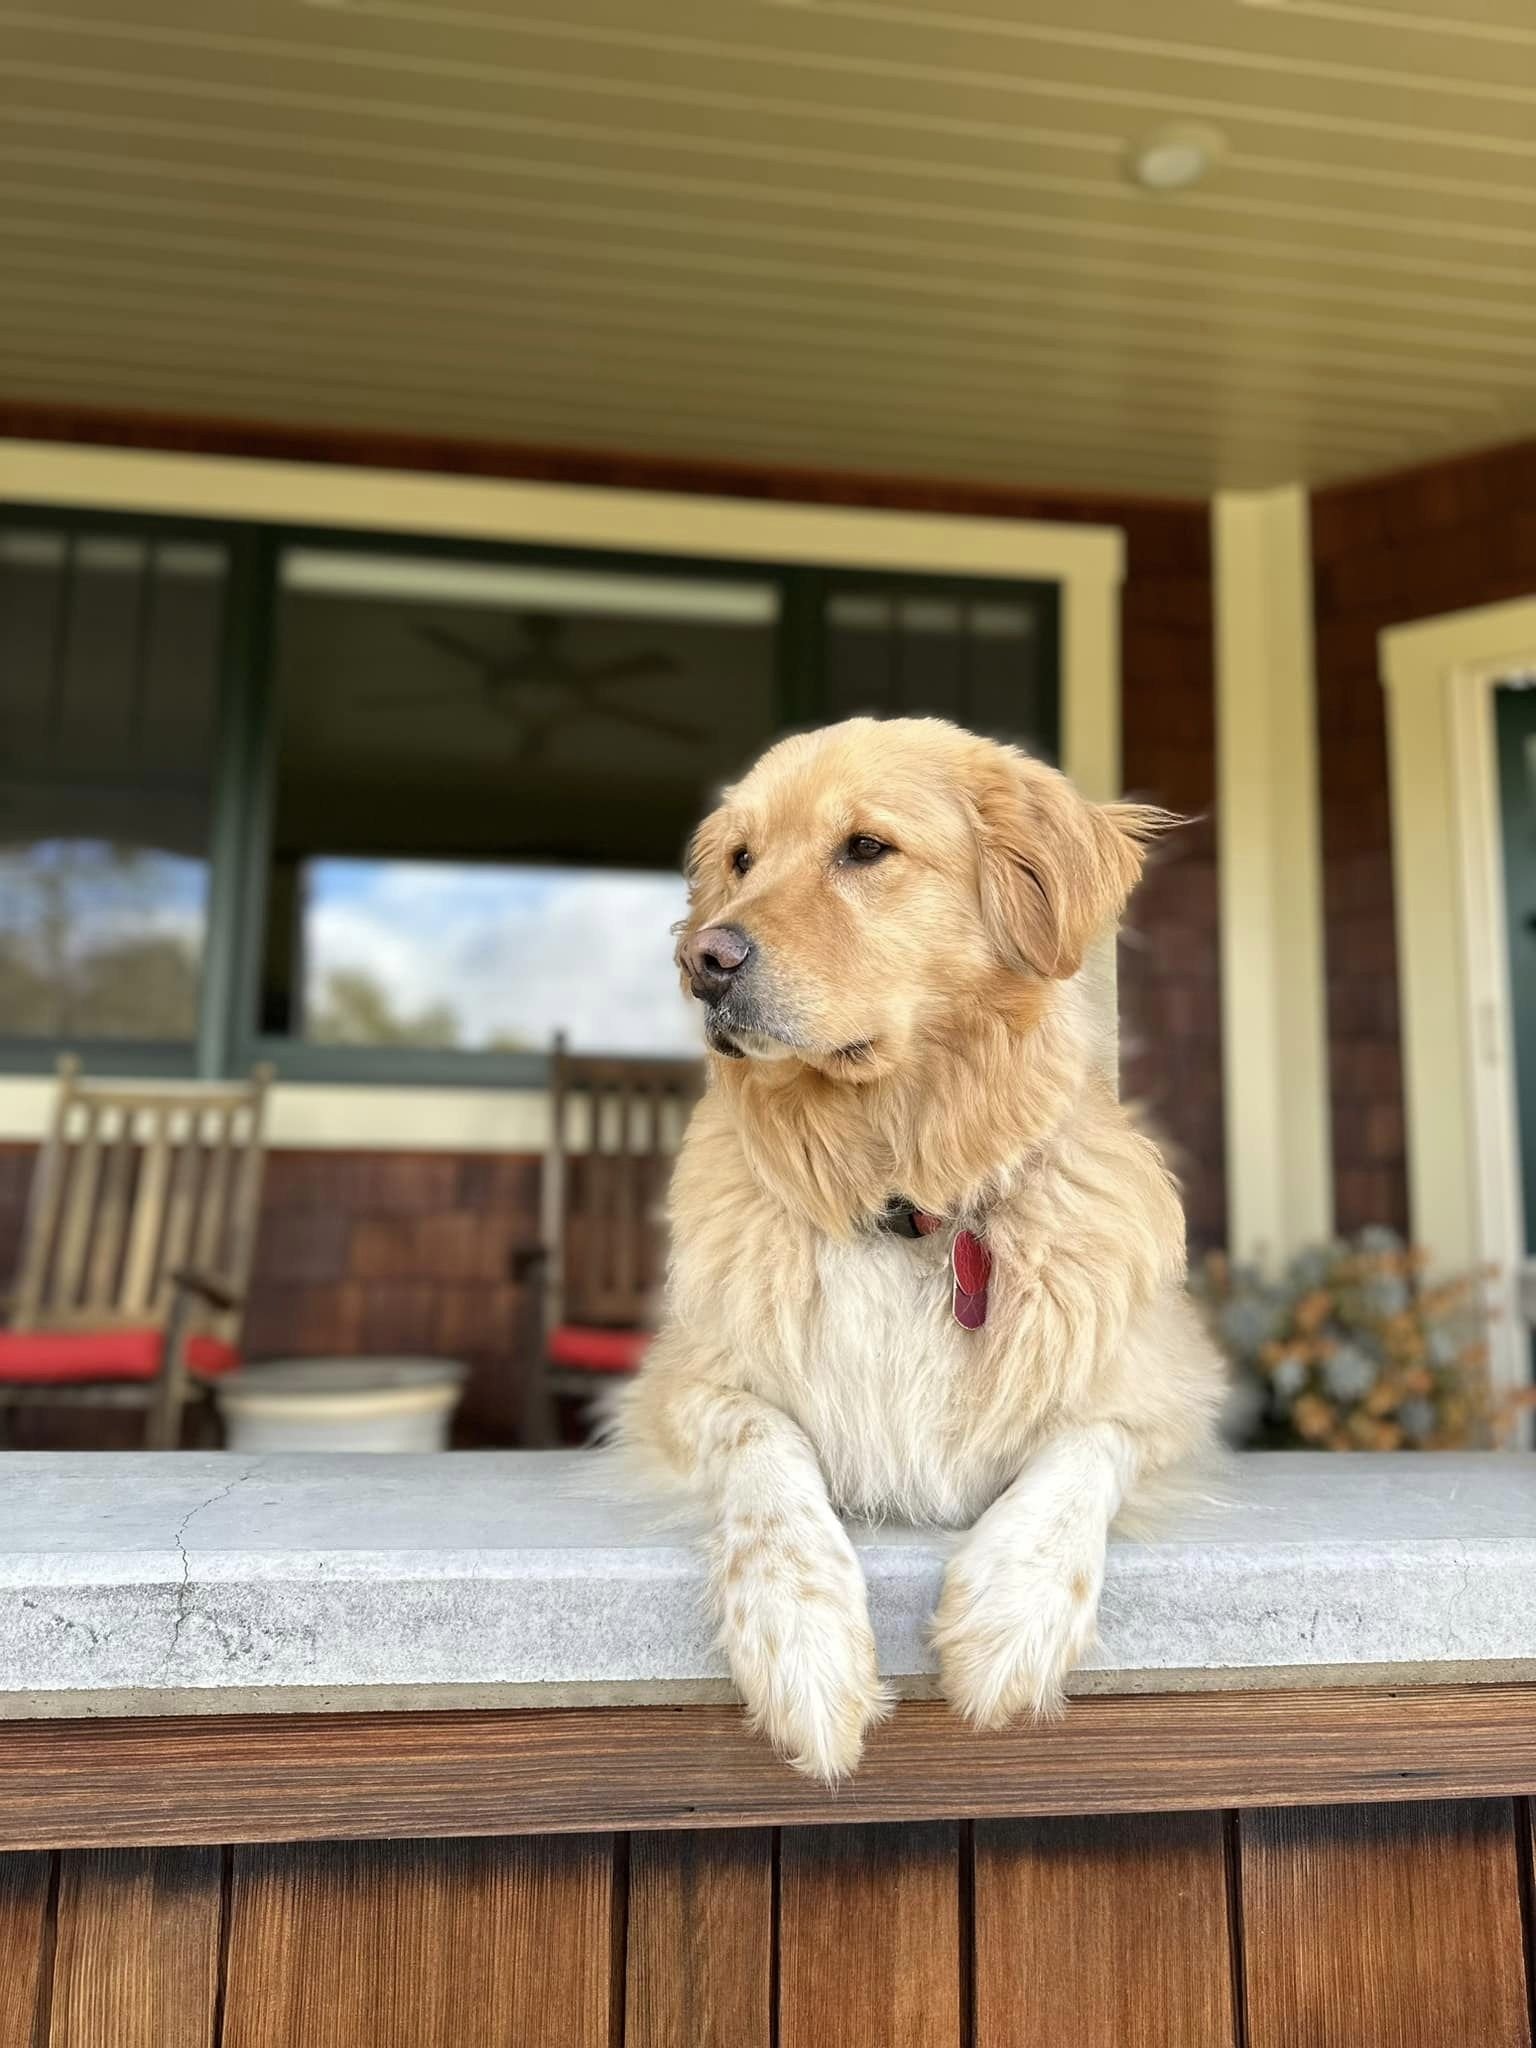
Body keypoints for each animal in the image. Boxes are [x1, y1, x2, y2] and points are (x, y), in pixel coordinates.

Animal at [614, 716, 1228, 1777]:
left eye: (866, 848)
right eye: (741, 860)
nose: (702, 959)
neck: (901, 1198)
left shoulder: (1169, 1389)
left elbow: (1085, 1446)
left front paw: (1013, 1606)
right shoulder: (679, 1385)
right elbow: (764, 1441)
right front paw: (801, 1630)